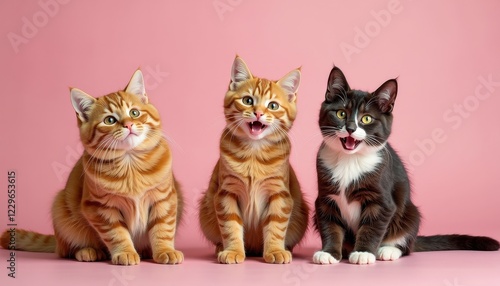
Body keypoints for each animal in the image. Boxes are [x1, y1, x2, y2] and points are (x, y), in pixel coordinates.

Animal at [0, 69, 184, 266]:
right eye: (110, 120)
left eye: (134, 113)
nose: (128, 124)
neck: (130, 164)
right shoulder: (100, 208)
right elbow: (117, 233)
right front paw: (125, 252)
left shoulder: (165, 199)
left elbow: (163, 229)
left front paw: (165, 250)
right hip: (60, 208)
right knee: (66, 250)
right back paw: (88, 251)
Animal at [198, 55, 308, 264]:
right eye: (248, 100)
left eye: (273, 105)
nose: (258, 113)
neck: (254, 155)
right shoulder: (226, 192)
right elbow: (230, 226)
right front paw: (233, 251)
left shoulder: (279, 194)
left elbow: (276, 226)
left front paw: (275, 250)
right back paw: (221, 248)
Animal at [314, 66, 498, 264]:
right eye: (341, 113)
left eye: (366, 119)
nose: (350, 128)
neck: (349, 160)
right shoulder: (325, 198)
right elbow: (330, 225)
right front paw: (328, 253)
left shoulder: (383, 201)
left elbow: (372, 227)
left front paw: (363, 252)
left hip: (410, 212)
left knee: (406, 242)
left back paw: (388, 250)